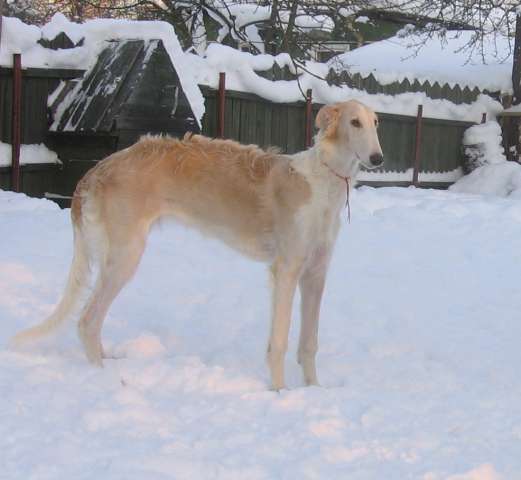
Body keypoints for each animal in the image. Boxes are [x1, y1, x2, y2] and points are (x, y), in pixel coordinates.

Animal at [13, 100, 382, 390]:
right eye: (354, 122)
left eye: (375, 122)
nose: (378, 158)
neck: (321, 181)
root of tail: (95, 171)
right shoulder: (287, 270)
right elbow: (278, 341)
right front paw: (280, 393)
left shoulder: (316, 273)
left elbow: (309, 342)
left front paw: (314, 390)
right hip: (125, 256)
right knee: (87, 320)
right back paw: (101, 376)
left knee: (92, 320)